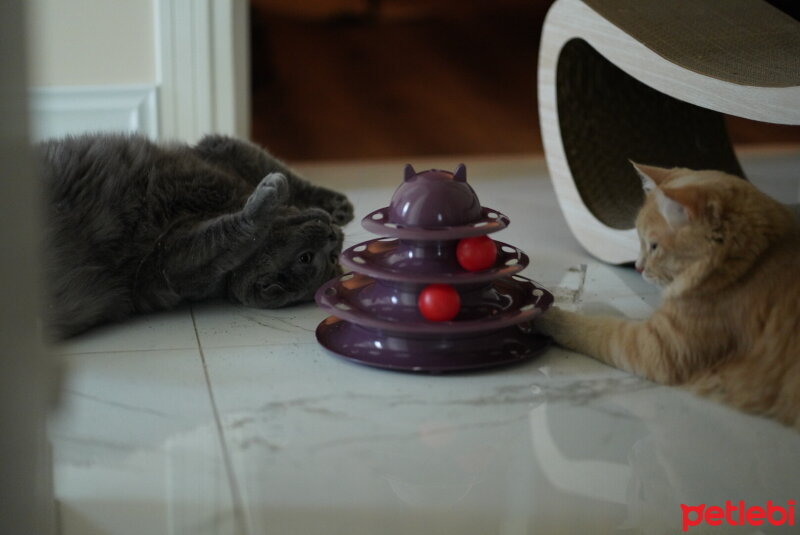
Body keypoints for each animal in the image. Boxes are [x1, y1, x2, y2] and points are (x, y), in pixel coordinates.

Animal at [39, 132, 354, 340]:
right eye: (307, 257)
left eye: (328, 258)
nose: (332, 237)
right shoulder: (219, 149)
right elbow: (278, 169)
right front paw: (336, 206)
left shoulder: (165, 261)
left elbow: (226, 233)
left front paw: (263, 201)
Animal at [536, 163, 800, 432]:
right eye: (639, 241)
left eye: (653, 246)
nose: (638, 267)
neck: (750, 262)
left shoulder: (657, 347)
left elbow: (592, 328)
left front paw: (550, 316)